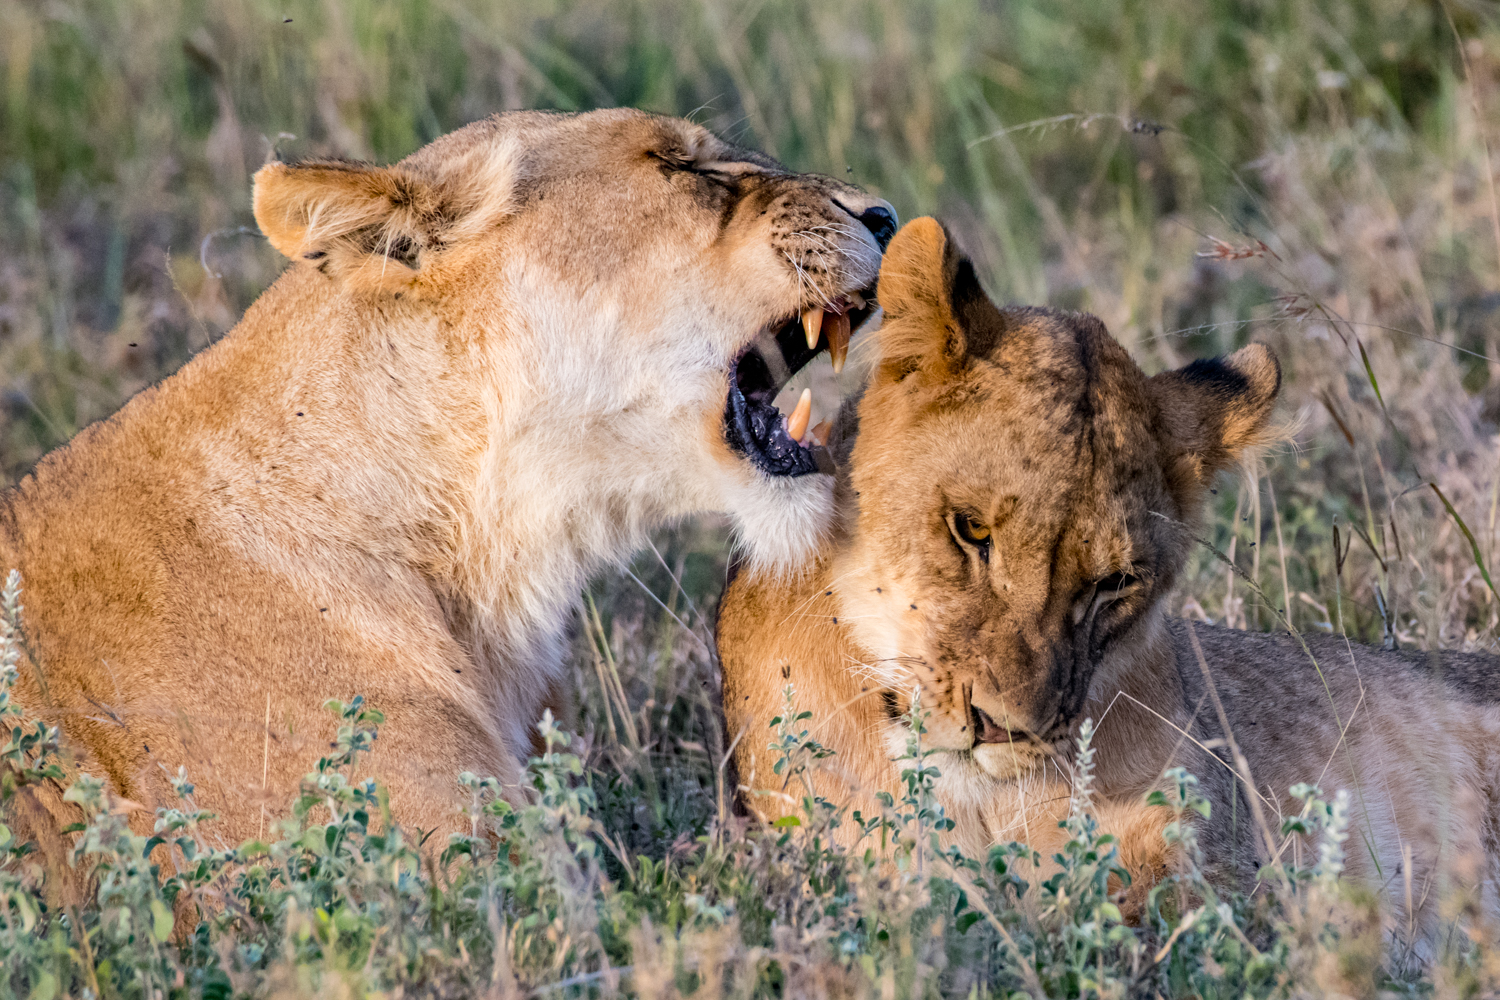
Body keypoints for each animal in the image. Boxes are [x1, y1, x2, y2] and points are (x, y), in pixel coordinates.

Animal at [714, 217, 1500, 953]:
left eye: (1114, 583)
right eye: (971, 530)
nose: (1004, 728)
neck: (980, 799)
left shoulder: (1212, 848)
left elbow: (1161, 916)